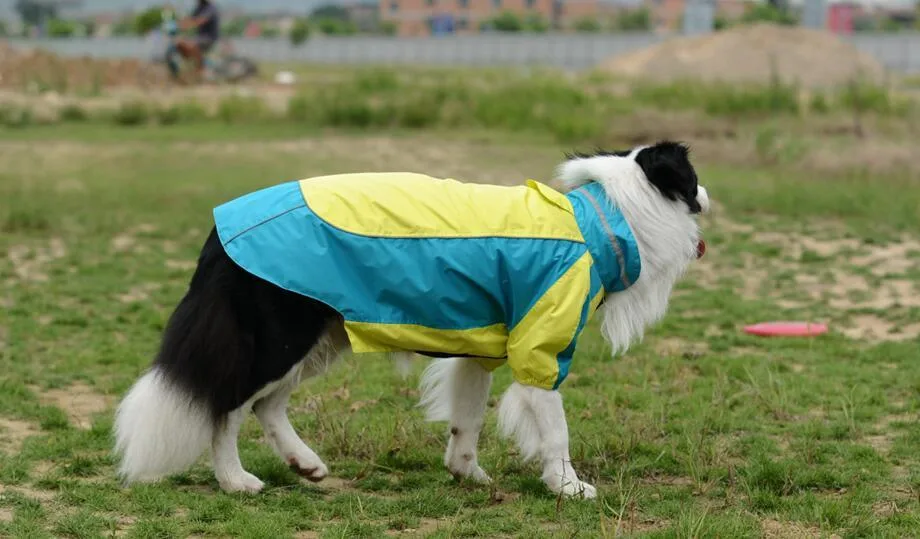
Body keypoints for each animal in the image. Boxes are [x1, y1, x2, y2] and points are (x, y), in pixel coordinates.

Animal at [111, 141, 708, 500]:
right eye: (693, 177)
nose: (707, 192)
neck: (604, 219)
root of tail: (219, 233)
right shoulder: (540, 347)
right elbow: (555, 428)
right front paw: (568, 486)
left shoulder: (479, 351)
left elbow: (467, 418)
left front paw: (467, 472)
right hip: (278, 338)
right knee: (227, 405)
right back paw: (236, 480)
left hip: (319, 339)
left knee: (267, 404)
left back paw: (305, 464)